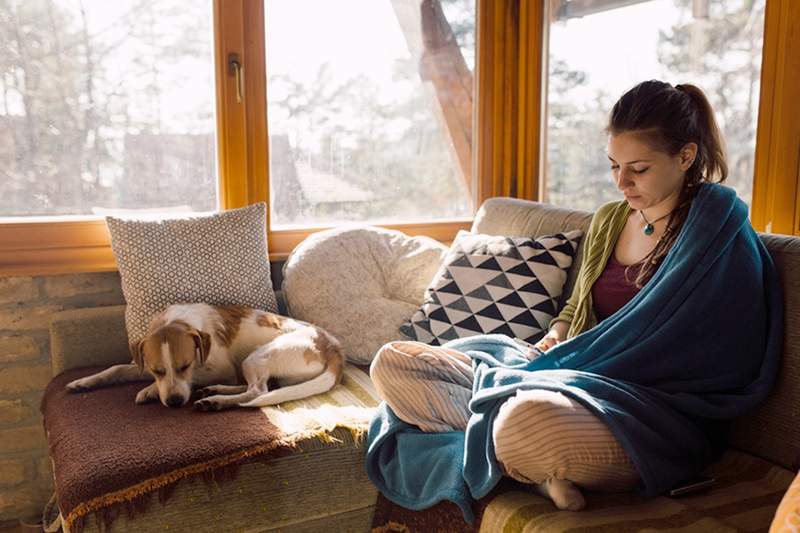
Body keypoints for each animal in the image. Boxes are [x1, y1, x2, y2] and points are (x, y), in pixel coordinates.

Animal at [65, 302, 344, 410]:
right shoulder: (142, 364)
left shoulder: (221, 369)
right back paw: (214, 392)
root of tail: (333, 347)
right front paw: (84, 382)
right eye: (156, 370)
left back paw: (216, 401)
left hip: (256, 357)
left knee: (257, 391)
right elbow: (116, 369)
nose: (175, 402)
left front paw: (149, 391)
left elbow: (190, 380)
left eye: (185, 365)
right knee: (255, 387)